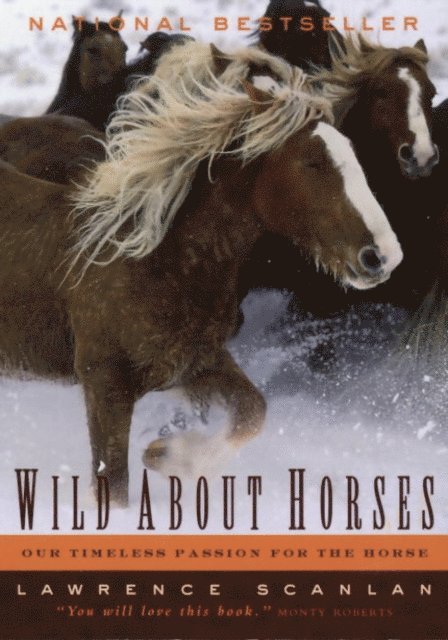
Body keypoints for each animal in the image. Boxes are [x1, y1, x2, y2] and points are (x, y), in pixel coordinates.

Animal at [0, 42, 403, 505]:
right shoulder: (106, 384)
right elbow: (115, 486)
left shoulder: (196, 363)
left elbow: (253, 411)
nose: (382, 256)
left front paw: (170, 455)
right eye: (312, 163)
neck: (156, 262)